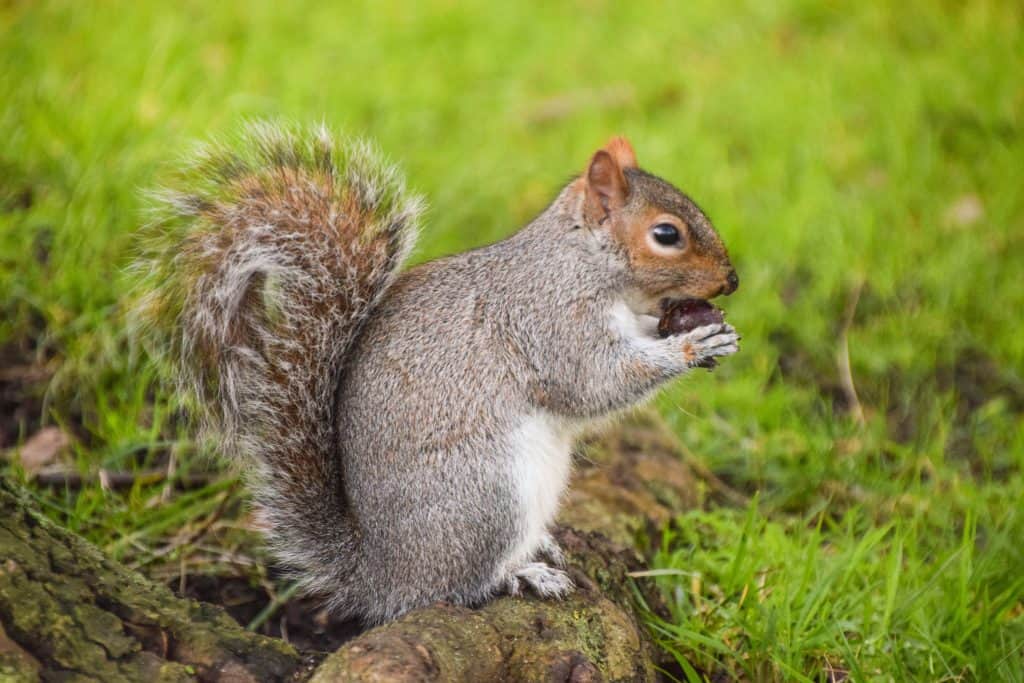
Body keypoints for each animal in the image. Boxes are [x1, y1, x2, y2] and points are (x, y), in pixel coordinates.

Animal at [136, 121, 737, 626]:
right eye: (666, 235)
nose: (732, 280)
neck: (581, 262)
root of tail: (381, 576)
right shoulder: (549, 319)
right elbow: (592, 384)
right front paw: (690, 345)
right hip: (487, 495)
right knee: (455, 588)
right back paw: (521, 573)